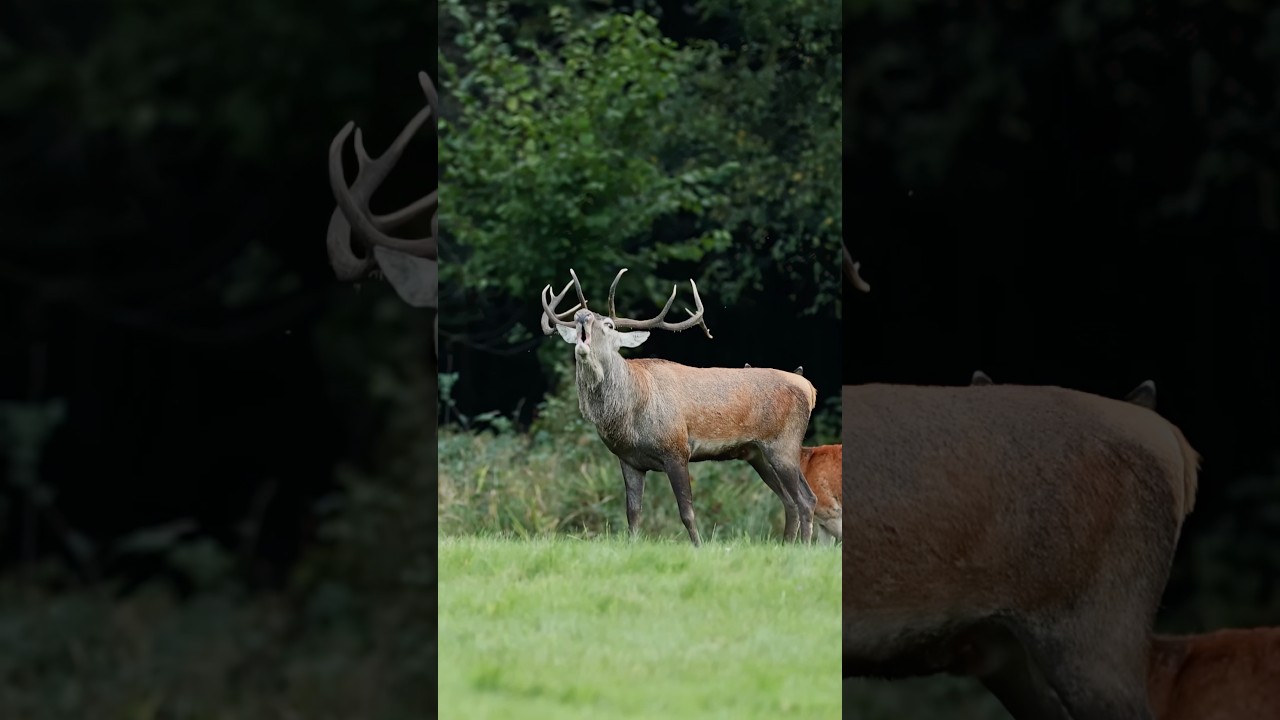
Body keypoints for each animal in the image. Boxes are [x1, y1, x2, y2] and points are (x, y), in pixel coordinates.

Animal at [539, 269, 820, 545]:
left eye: (608, 325)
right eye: (576, 319)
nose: (582, 315)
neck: (631, 414)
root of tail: (809, 388)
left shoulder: (676, 449)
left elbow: (687, 512)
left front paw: (699, 547)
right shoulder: (629, 459)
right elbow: (633, 513)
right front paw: (632, 547)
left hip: (783, 443)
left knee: (806, 499)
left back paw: (803, 547)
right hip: (757, 453)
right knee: (789, 501)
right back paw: (787, 544)